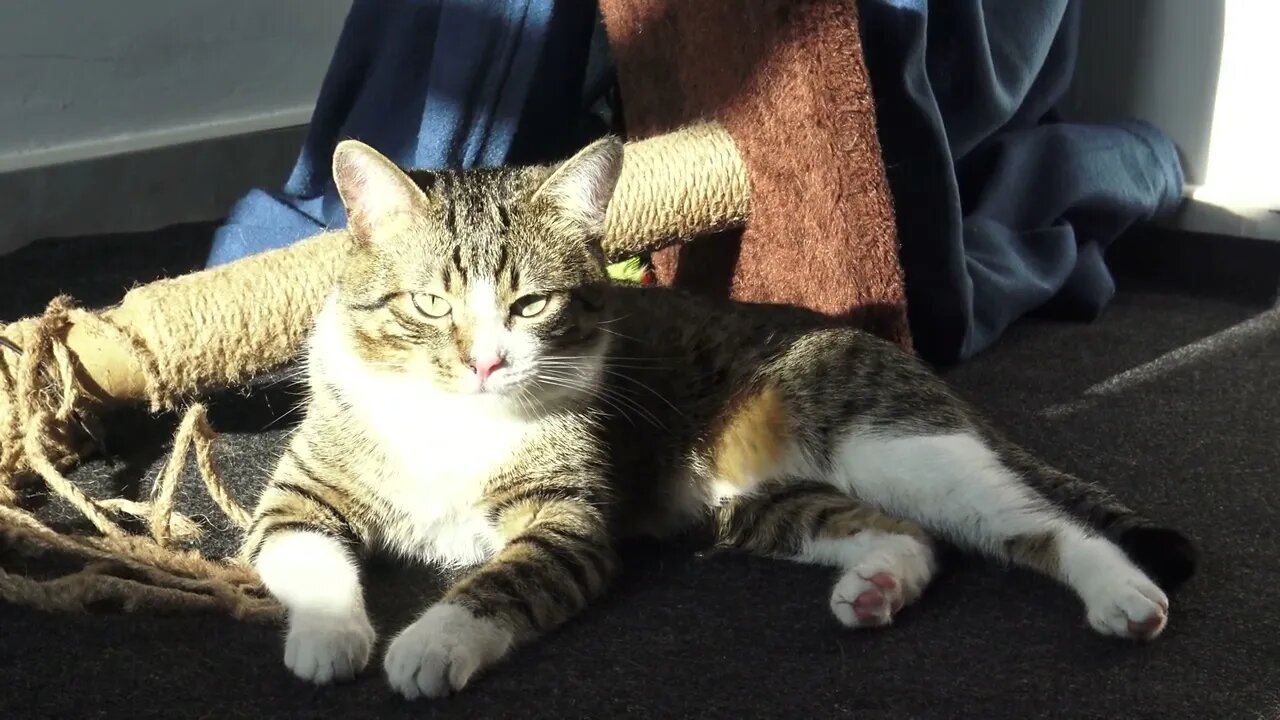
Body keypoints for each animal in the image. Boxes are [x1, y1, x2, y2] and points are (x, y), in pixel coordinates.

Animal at [244, 137, 1192, 696]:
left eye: (532, 305)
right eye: (432, 302)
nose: (486, 363)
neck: (453, 419)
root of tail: (895, 355)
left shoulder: (568, 522)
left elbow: (503, 579)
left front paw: (430, 644)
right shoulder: (298, 494)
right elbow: (299, 549)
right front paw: (329, 639)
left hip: (894, 442)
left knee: (1035, 520)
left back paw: (1121, 593)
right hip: (751, 500)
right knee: (906, 534)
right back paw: (878, 584)